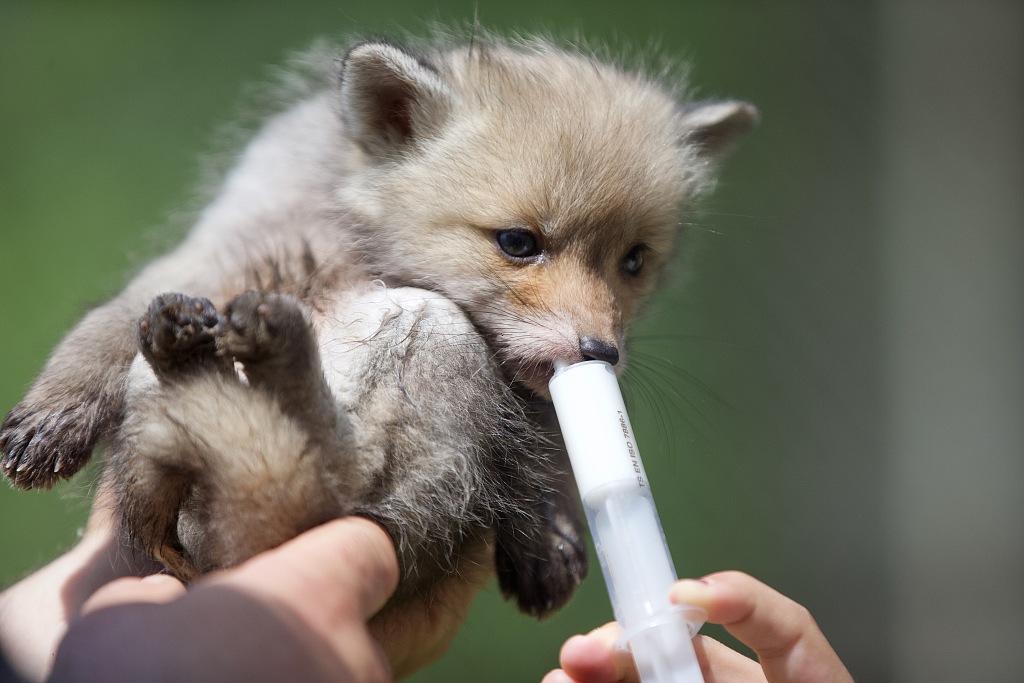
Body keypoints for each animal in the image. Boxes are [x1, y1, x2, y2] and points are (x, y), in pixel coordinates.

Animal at [0, 33, 753, 618]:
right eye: (517, 242)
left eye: (634, 260)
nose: (602, 350)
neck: (358, 239)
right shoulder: (220, 253)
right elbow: (106, 324)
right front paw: (53, 416)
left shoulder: (526, 386)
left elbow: (539, 445)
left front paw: (546, 530)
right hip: (415, 333)